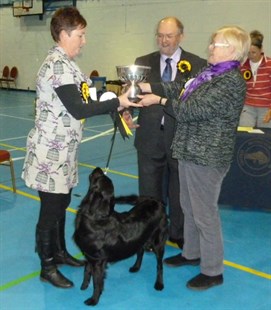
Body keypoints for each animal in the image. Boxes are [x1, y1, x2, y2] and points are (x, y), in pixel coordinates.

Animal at [73, 167, 169, 306]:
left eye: (99, 177)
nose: (98, 168)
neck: (95, 218)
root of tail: (155, 200)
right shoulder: (89, 255)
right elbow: (86, 271)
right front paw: (84, 286)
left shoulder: (98, 260)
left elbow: (97, 282)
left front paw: (93, 300)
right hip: (141, 239)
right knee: (140, 251)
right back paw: (136, 267)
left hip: (158, 242)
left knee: (159, 265)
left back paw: (159, 284)